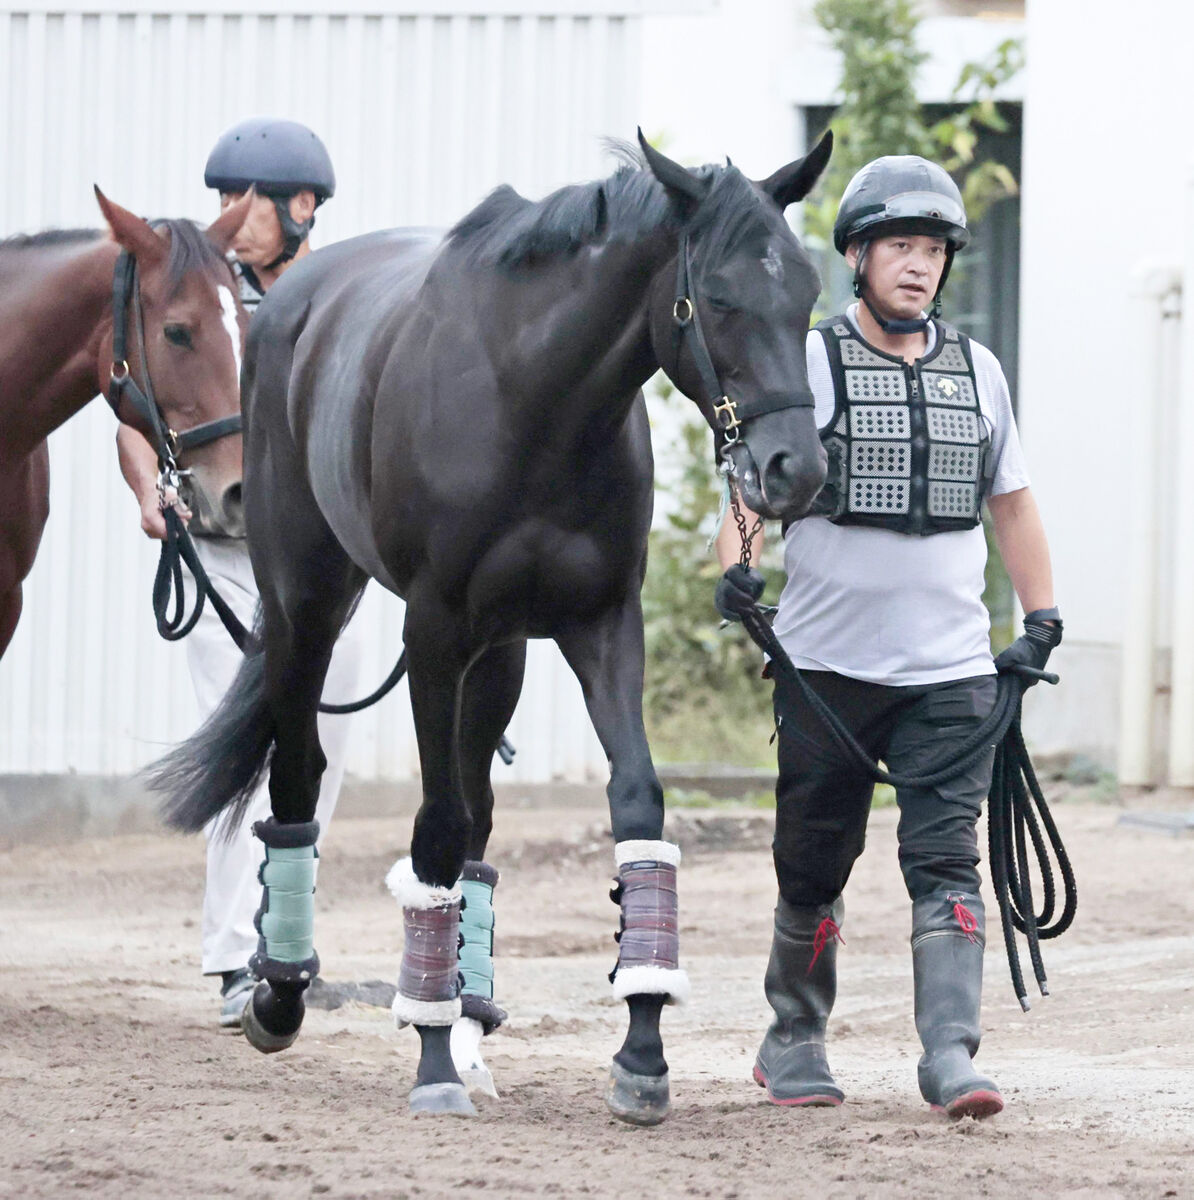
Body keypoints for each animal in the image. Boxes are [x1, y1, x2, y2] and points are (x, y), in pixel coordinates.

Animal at [151, 133, 830, 1123]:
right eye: (719, 298)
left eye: (809, 291)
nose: (796, 471)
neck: (533, 395)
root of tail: (291, 304)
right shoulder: (434, 633)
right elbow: (433, 828)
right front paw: (431, 1062)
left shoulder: (599, 626)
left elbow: (634, 806)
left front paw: (641, 1051)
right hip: (306, 606)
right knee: (303, 774)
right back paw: (282, 993)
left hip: (499, 654)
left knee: (478, 817)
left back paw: (467, 1021)